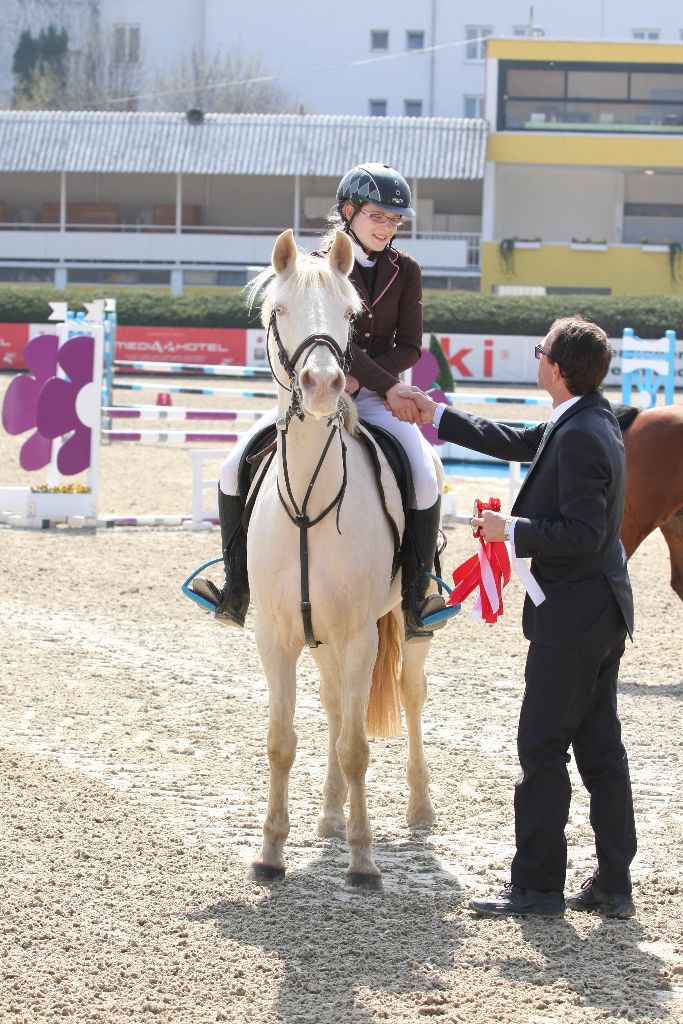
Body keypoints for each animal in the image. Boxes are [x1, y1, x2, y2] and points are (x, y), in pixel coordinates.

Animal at [245, 226, 438, 888]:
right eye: (279, 311)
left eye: (351, 316)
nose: (326, 387)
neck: (309, 496)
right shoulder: (276, 635)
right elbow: (281, 740)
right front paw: (270, 854)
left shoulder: (360, 634)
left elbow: (358, 746)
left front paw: (362, 860)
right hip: (321, 634)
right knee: (333, 706)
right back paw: (328, 816)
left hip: (402, 626)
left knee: (408, 693)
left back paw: (418, 809)